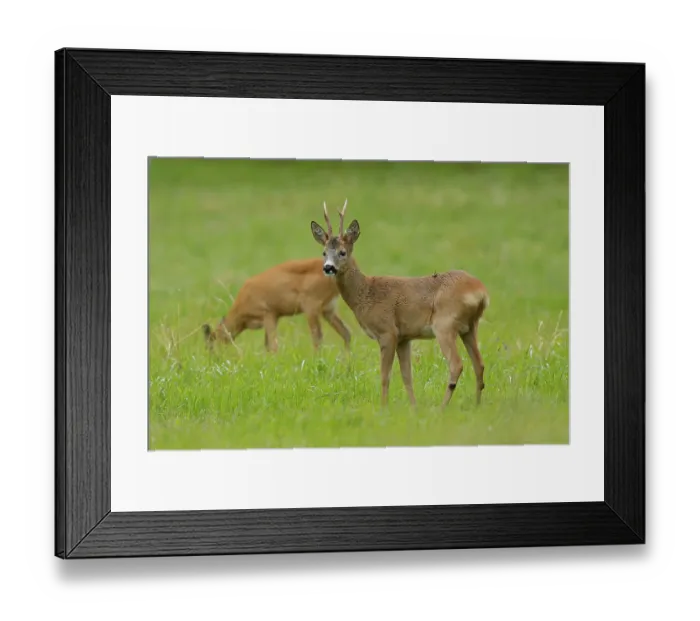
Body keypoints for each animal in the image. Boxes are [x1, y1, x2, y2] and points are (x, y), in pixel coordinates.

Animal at [202, 258, 352, 353]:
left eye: (211, 345)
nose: (215, 359)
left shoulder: (268, 314)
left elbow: (273, 346)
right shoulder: (275, 317)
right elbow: (268, 346)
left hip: (311, 308)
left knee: (317, 338)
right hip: (328, 310)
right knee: (346, 333)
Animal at [310, 200, 489, 409]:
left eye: (342, 252)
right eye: (323, 252)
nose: (328, 267)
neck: (365, 294)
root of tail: (481, 292)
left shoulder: (388, 332)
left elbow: (385, 376)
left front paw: (383, 408)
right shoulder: (405, 337)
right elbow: (406, 376)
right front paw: (414, 408)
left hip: (445, 324)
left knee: (456, 364)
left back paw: (441, 408)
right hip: (469, 327)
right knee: (479, 364)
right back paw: (476, 405)